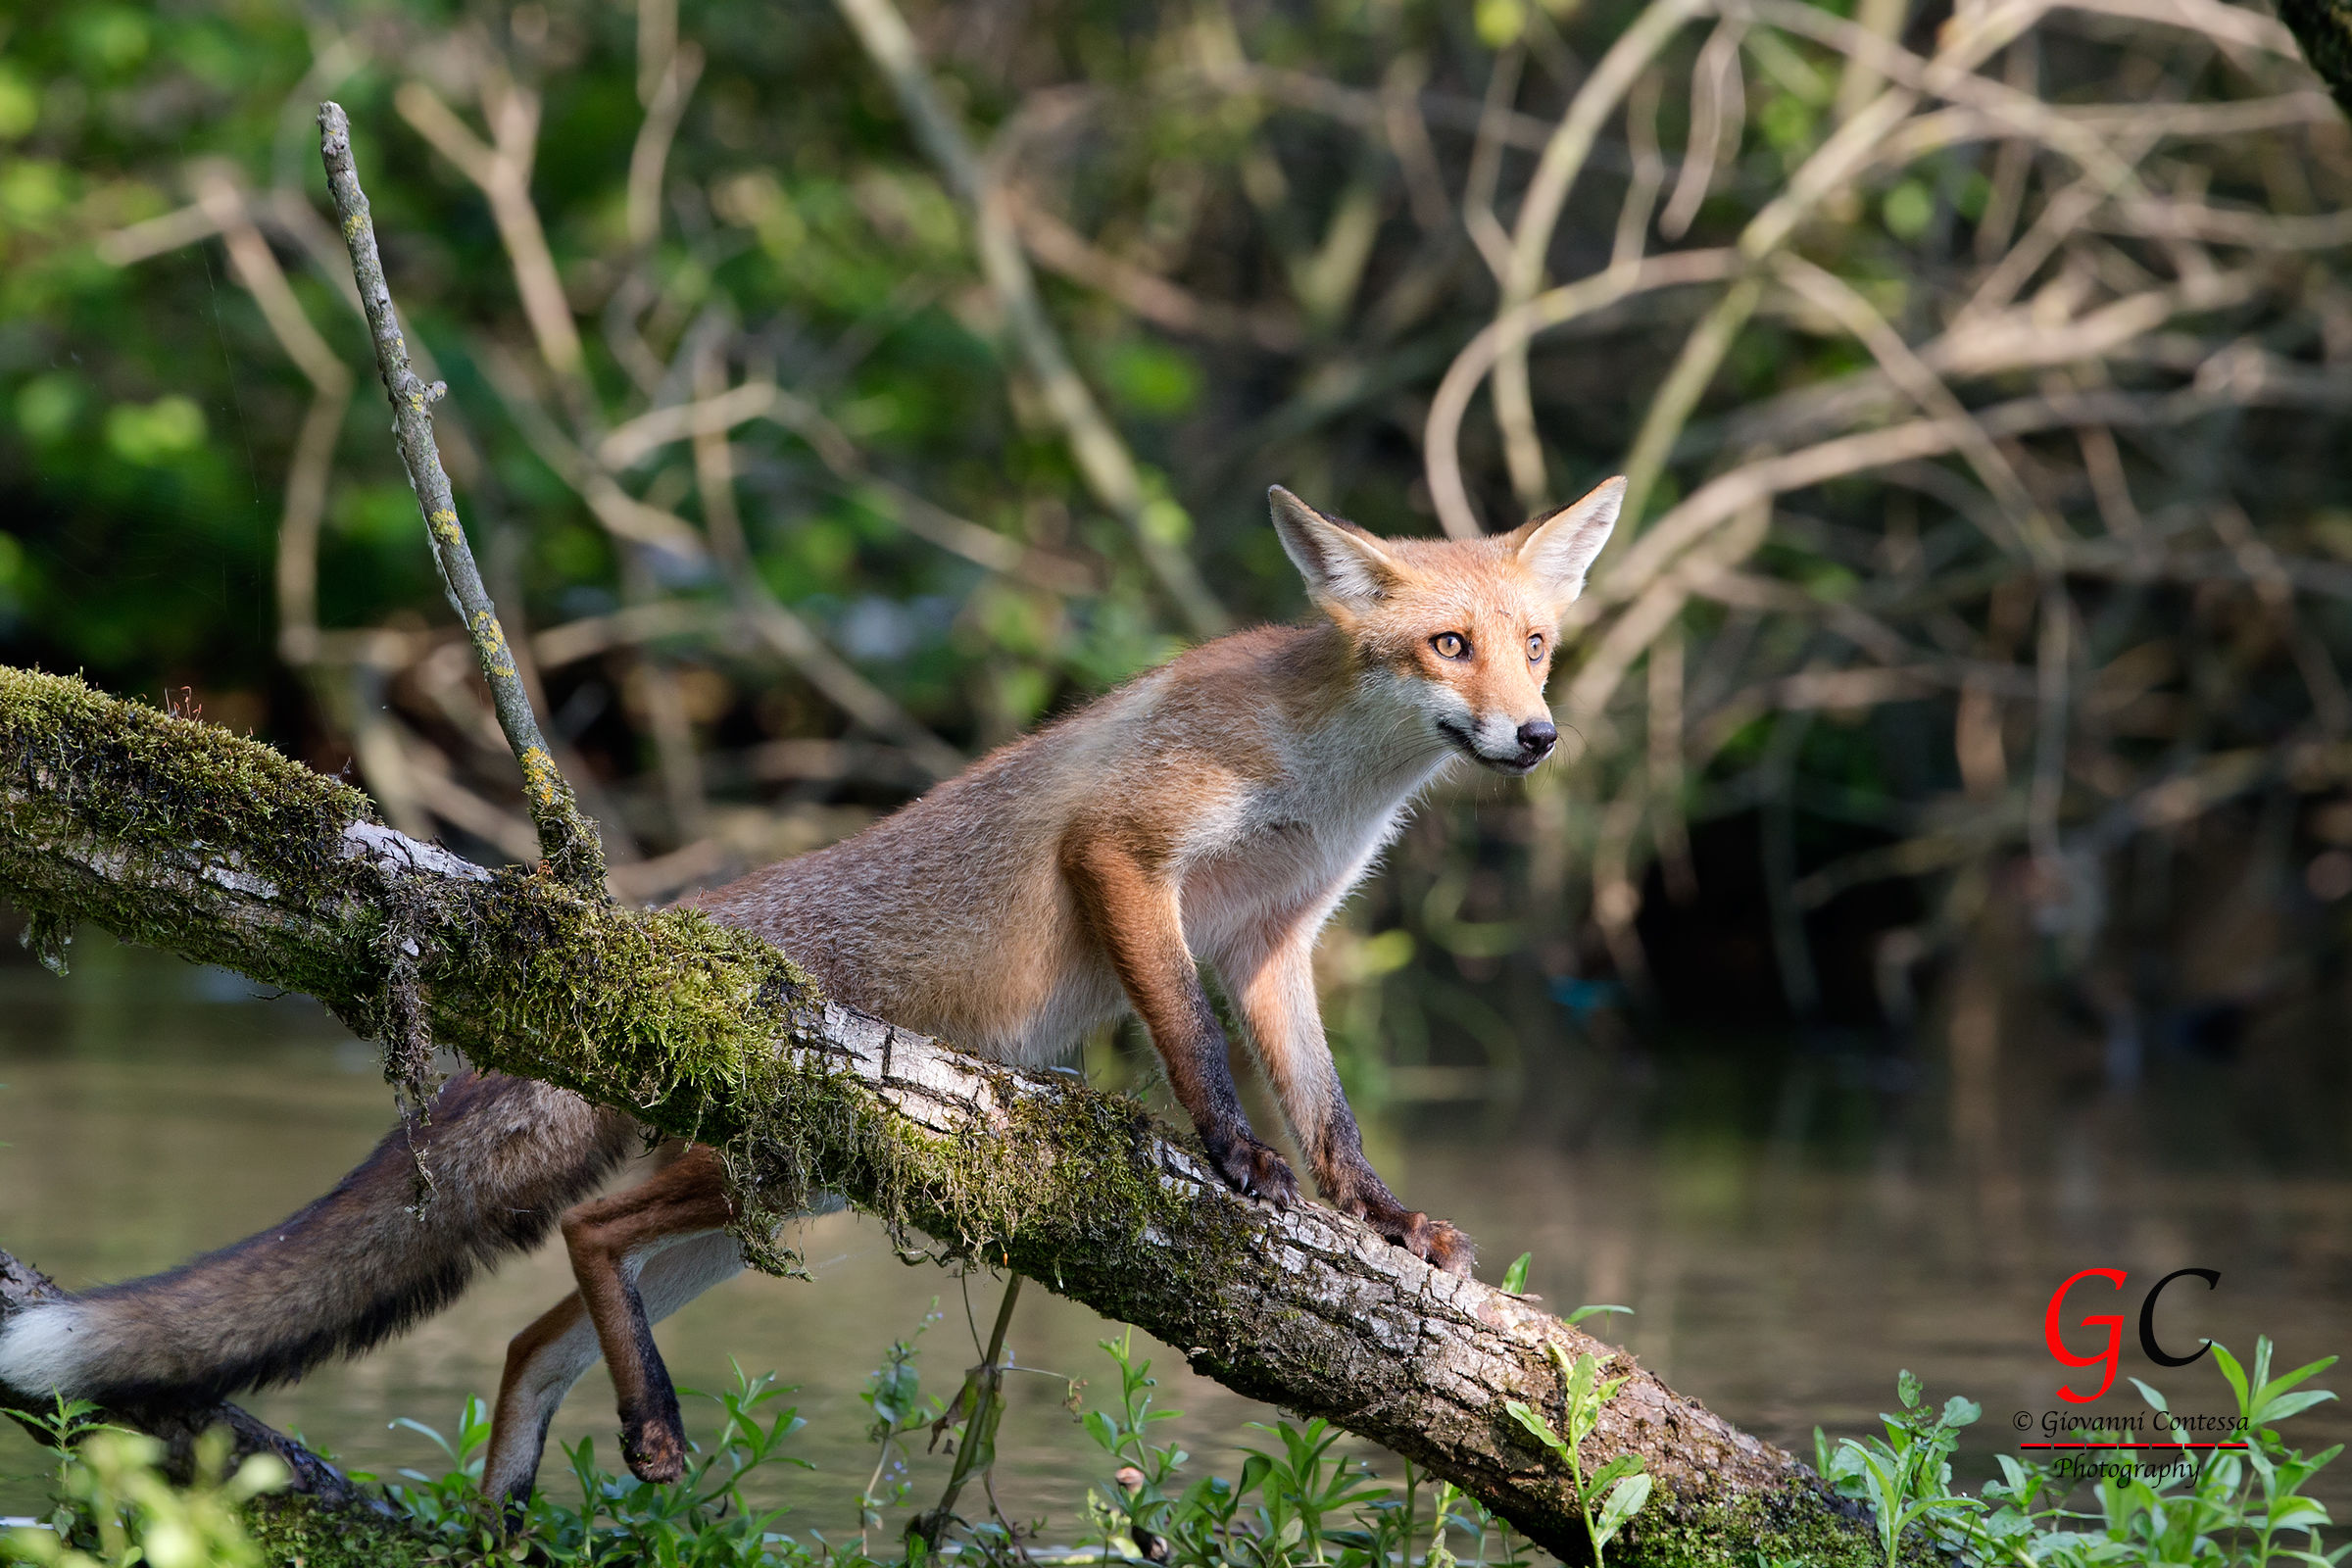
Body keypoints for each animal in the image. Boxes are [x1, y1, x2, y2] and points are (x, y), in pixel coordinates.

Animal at [0, 477, 1623, 1514]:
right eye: (1447, 646)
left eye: (1536, 644)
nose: (1536, 737)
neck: (1329, 781)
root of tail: (665, 949)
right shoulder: (1129, 859)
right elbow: (1194, 1052)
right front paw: (1230, 1159)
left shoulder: (1276, 944)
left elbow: (1332, 1117)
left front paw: (1385, 1224)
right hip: (758, 1176)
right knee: (585, 1237)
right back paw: (643, 1422)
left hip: (770, 1207)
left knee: (535, 1334)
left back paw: (531, 1482)